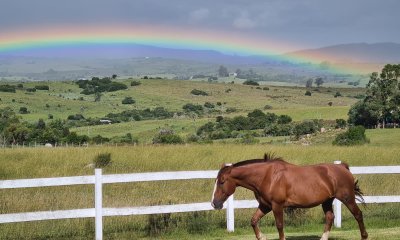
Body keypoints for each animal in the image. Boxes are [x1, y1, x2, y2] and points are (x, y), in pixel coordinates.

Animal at [211, 154, 368, 240]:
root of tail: (342, 167)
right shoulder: (265, 206)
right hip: (327, 201)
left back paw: (364, 236)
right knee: (330, 217)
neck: (267, 177)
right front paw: (262, 237)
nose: (214, 204)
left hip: (347, 198)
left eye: (222, 181)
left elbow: (280, 225)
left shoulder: (277, 205)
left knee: (358, 215)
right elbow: (254, 220)